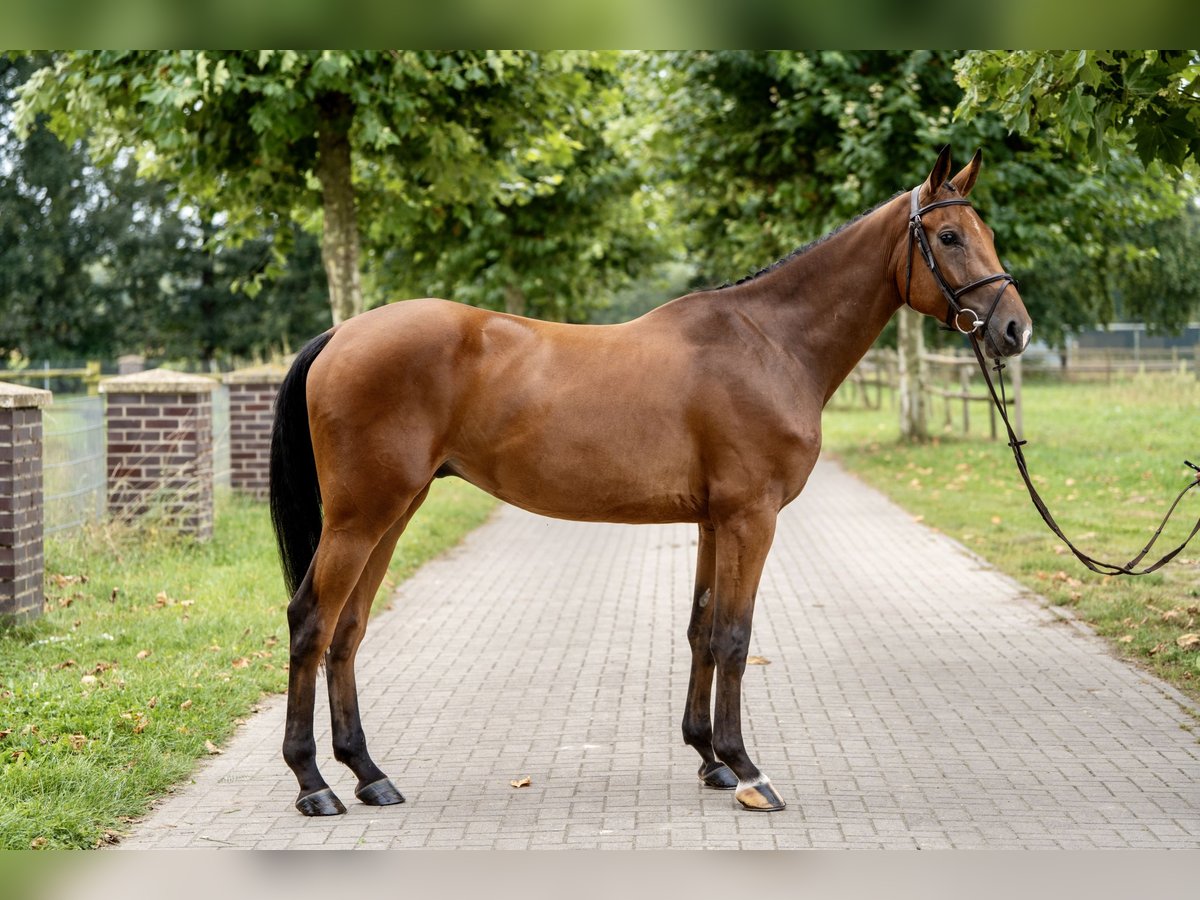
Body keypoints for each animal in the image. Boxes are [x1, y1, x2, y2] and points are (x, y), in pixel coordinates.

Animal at [270, 148, 1032, 816]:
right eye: (949, 236)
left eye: (987, 234)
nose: (1014, 330)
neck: (769, 343)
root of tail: (340, 335)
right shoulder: (751, 519)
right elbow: (735, 638)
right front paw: (749, 771)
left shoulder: (713, 521)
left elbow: (702, 630)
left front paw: (711, 760)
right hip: (361, 516)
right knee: (312, 622)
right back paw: (313, 785)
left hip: (393, 511)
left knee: (348, 629)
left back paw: (369, 774)